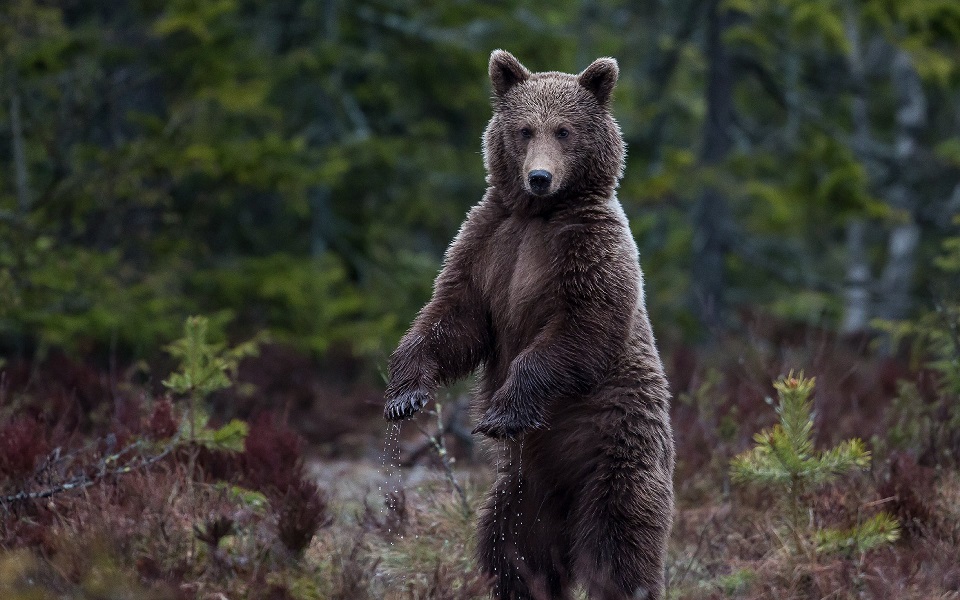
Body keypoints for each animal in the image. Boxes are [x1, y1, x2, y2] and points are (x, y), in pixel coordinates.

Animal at [384, 49, 676, 596]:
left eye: (563, 130)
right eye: (524, 129)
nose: (539, 177)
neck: (539, 214)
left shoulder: (590, 251)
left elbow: (581, 329)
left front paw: (502, 412)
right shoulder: (490, 243)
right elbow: (454, 317)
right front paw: (404, 394)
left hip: (618, 457)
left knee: (619, 551)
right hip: (522, 494)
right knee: (512, 553)